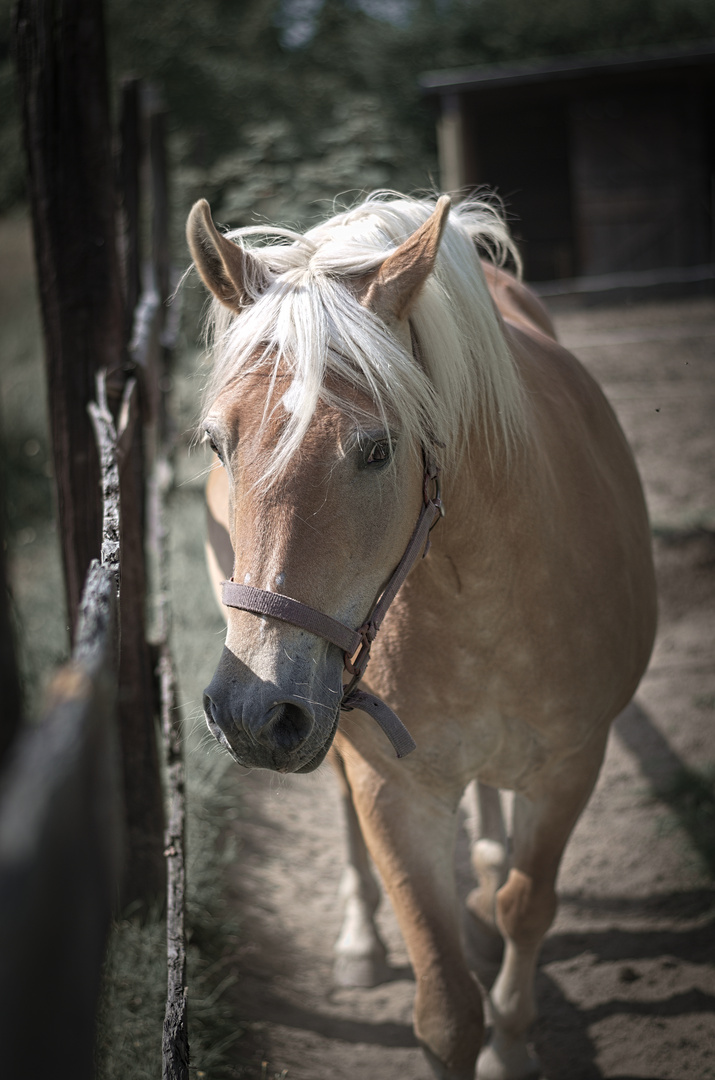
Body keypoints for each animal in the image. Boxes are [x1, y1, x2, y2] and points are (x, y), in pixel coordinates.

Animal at [187, 194, 656, 1080]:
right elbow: (443, 1006)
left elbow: (525, 906)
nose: (249, 712)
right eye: (215, 442)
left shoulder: (573, 762)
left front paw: (511, 1044)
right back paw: (358, 941)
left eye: (375, 450)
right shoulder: (390, 785)